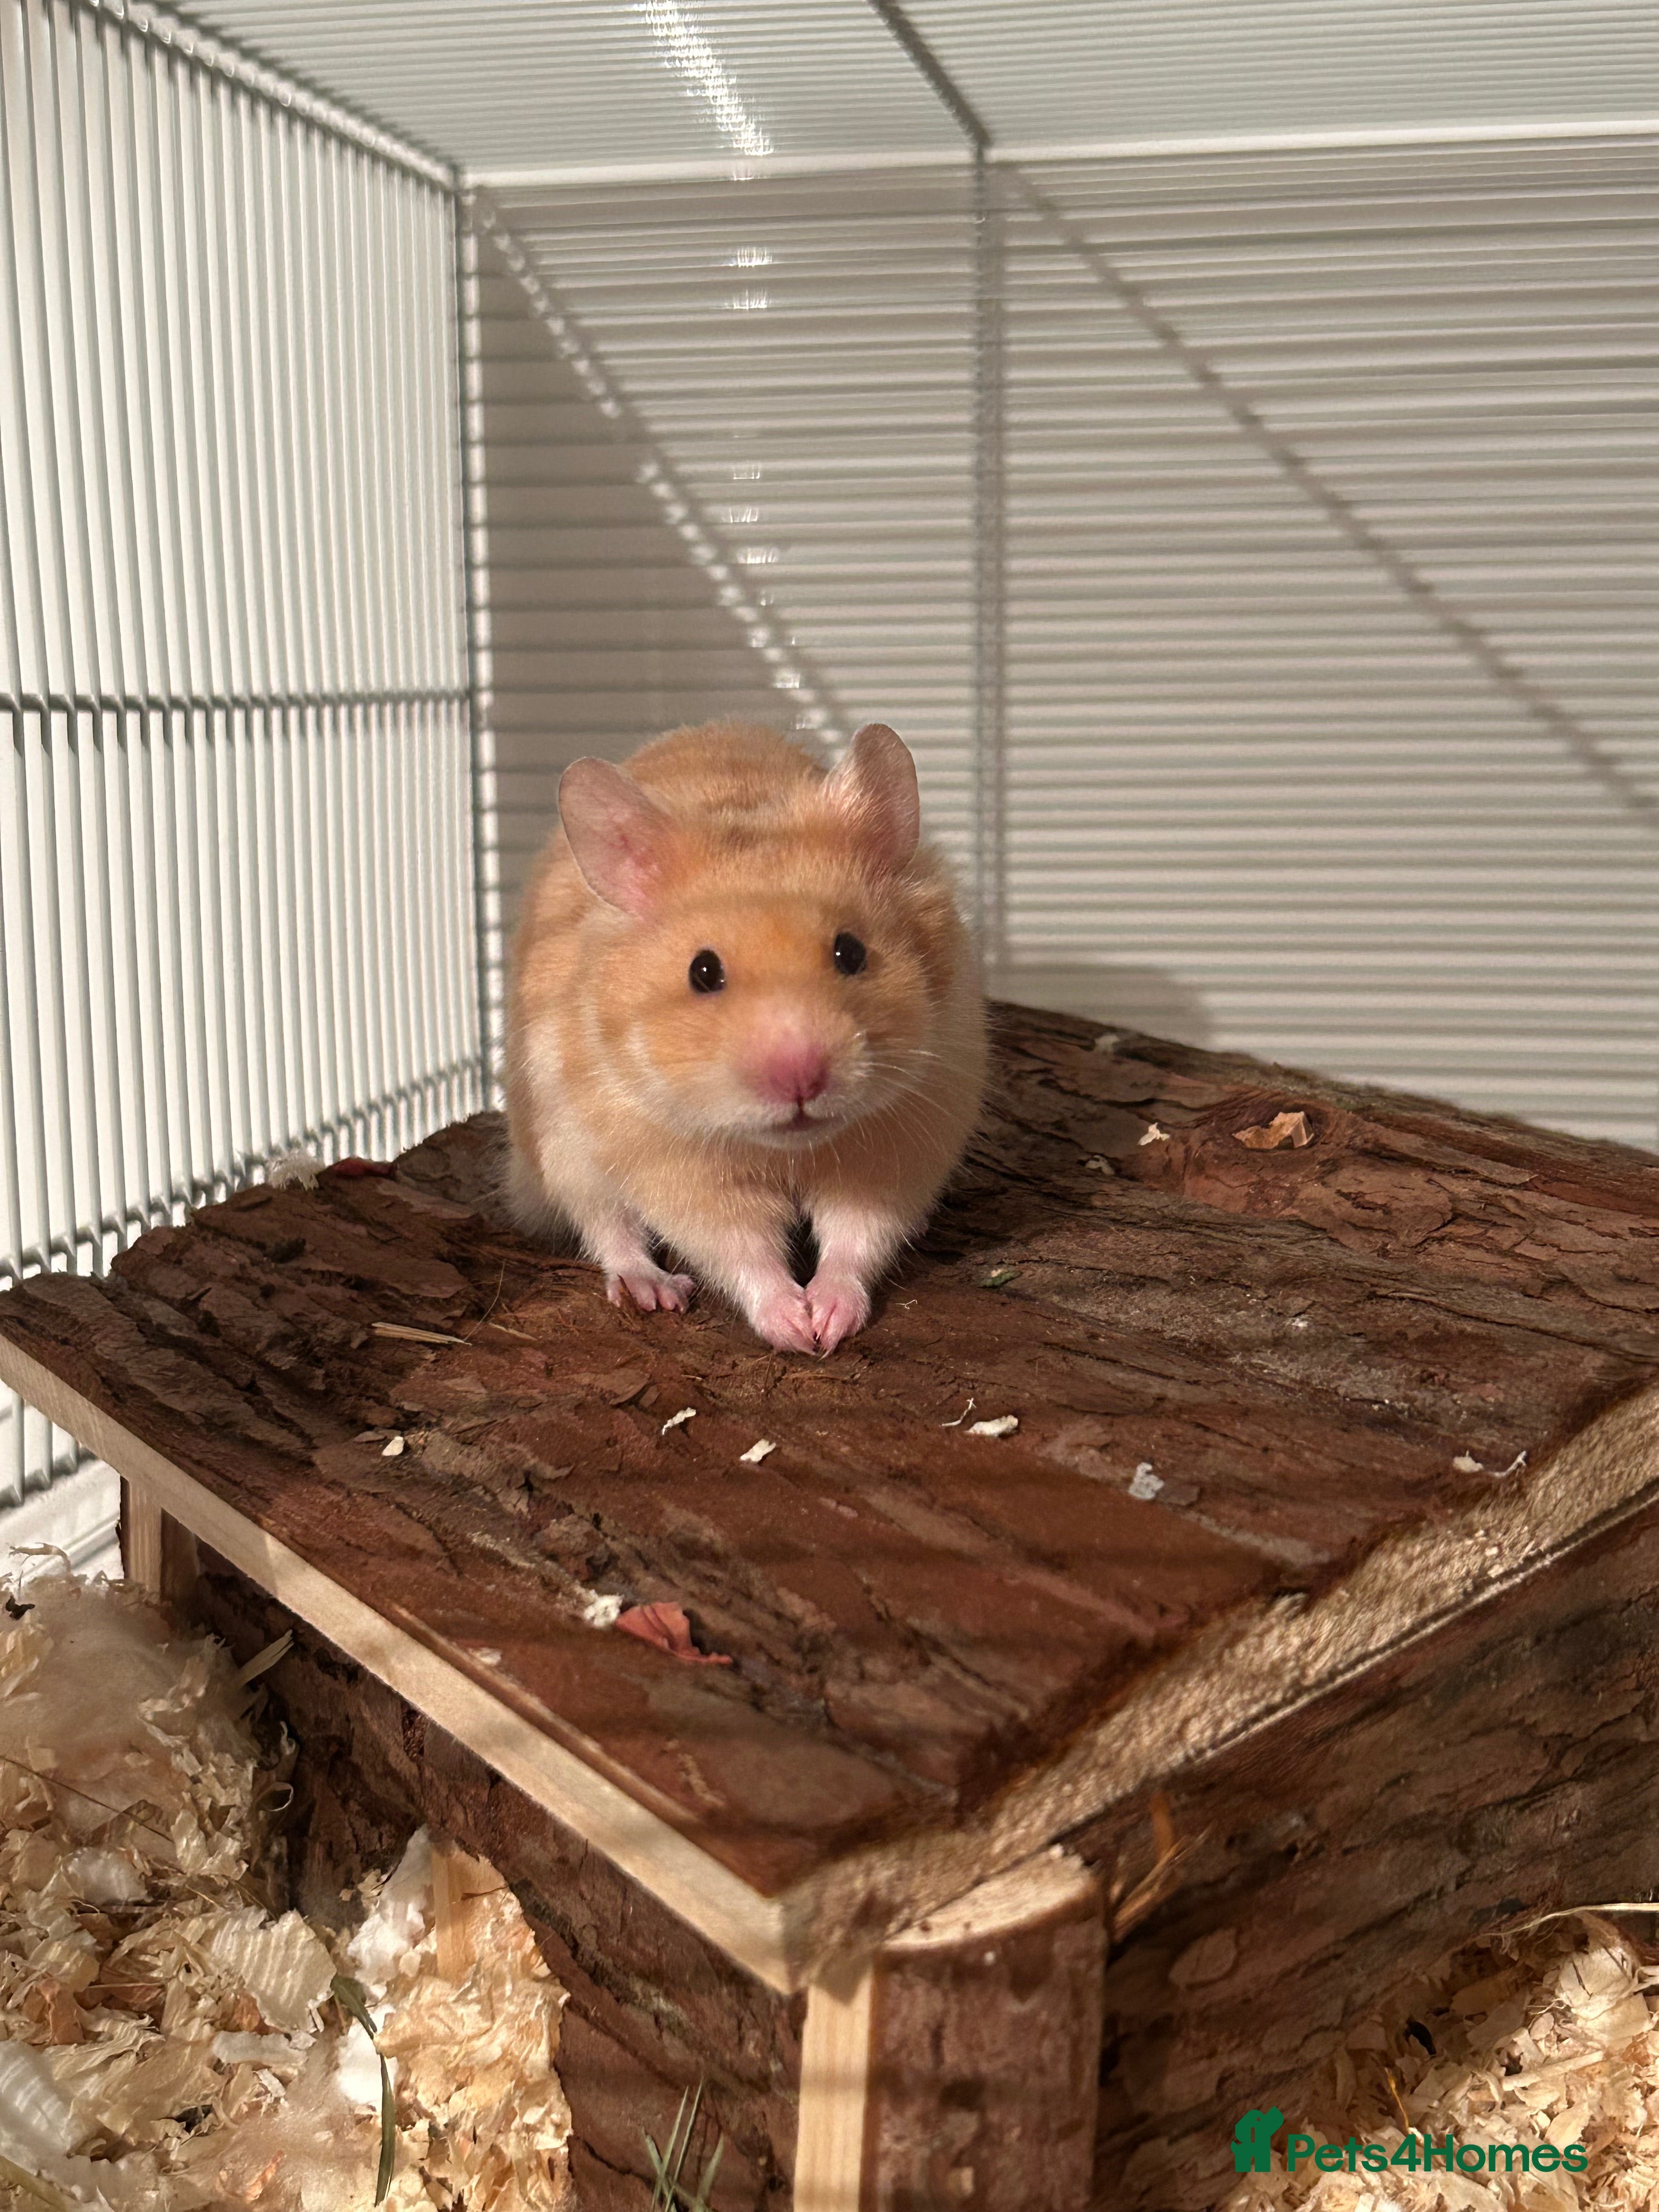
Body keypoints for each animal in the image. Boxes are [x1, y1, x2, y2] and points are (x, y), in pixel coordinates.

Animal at [503, 719, 987, 1354]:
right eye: (702, 972)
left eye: (851, 952)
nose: (801, 1079)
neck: (787, 1148)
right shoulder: (679, 1169)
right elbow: (741, 1249)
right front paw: (794, 1329)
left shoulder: (895, 1142)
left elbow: (856, 1236)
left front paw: (829, 1323)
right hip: (562, 1150)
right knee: (608, 1227)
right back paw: (654, 1292)